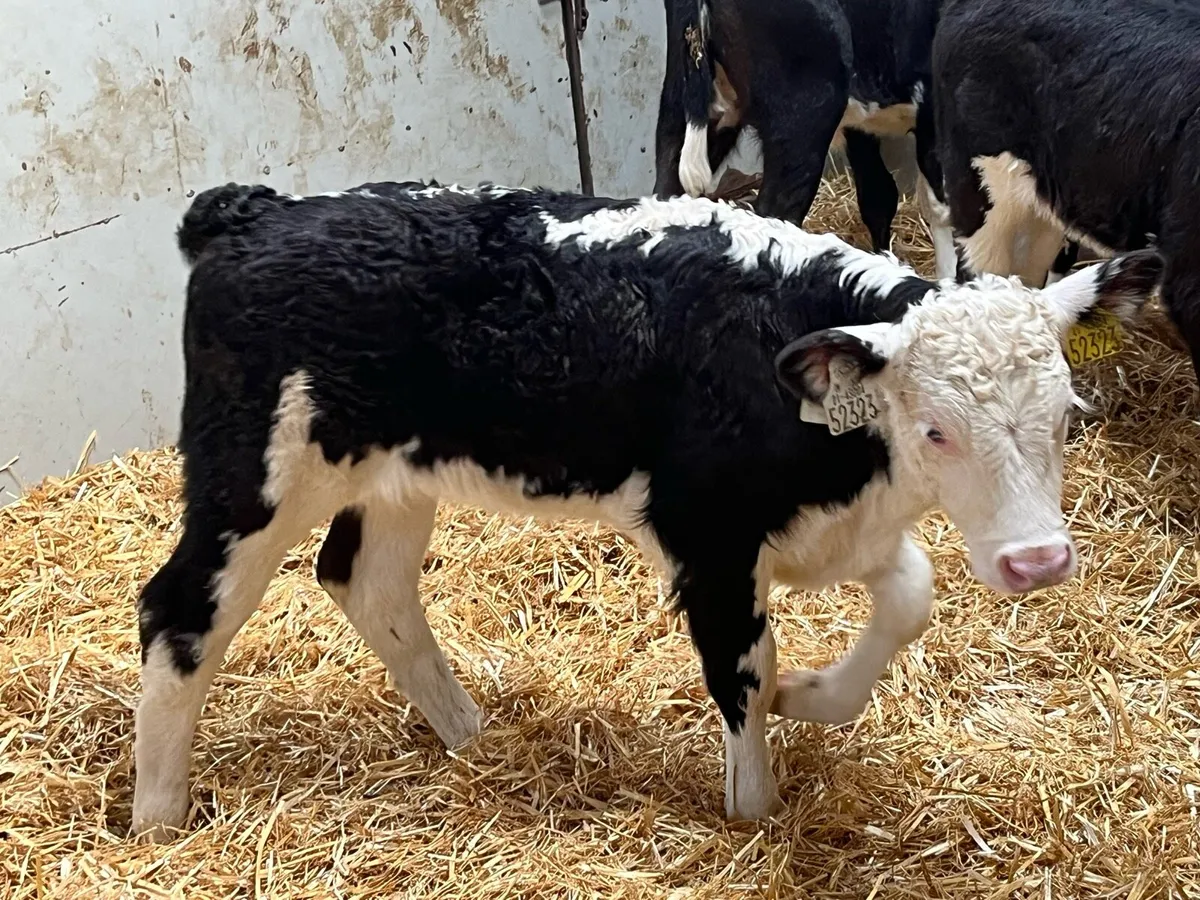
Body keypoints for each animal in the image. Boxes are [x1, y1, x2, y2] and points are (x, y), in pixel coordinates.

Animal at [130, 179, 1162, 839]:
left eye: (1066, 415)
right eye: (938, 430)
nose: (1037, 561)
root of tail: (257, 213)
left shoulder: (828, 524)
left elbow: (908, 598)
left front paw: (813, 697)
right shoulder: (708, 537)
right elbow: (743, 673)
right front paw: (755, 814)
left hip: (395, 475)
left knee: (369, 585)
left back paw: (473, 741)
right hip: (252, 475)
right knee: (179, 613)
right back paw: (159, 819)